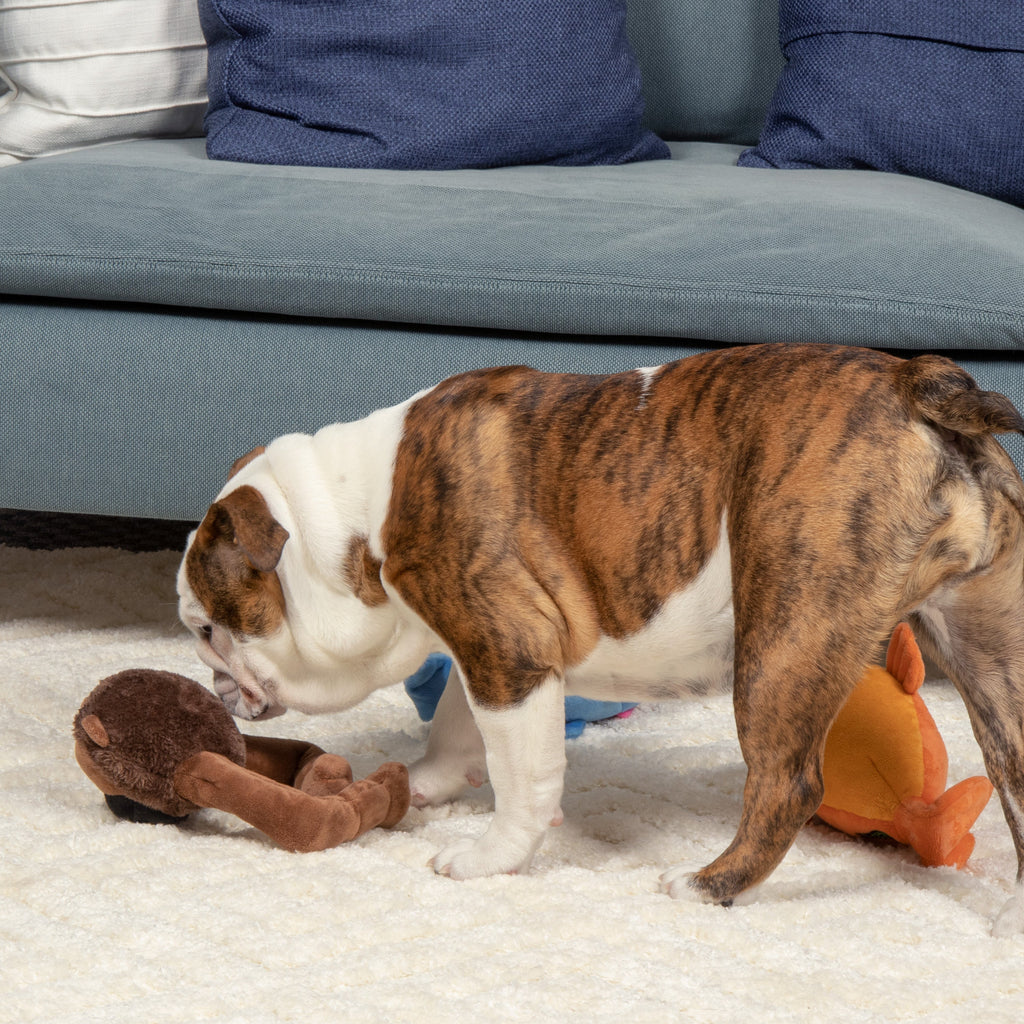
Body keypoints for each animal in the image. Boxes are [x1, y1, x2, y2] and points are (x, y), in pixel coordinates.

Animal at [180, 346, 1024, 937]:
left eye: (208, 629)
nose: (215, 683)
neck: (353, 515)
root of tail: (916, 382)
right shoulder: (490, 646)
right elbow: (456, 724)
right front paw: (424, 783)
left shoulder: (506, 649)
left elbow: (521, 773)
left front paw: (490, 858)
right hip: (987, 652)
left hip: (786, 631)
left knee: (787, 785)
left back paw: (706, 885)